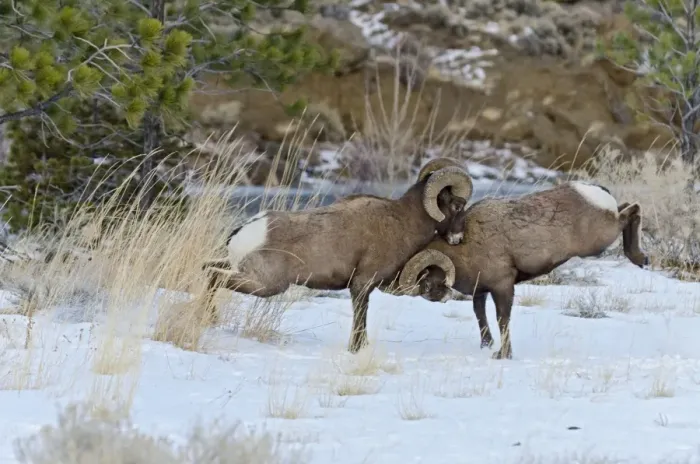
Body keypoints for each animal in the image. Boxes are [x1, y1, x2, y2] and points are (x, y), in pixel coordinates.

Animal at [200, 157, 474, 353]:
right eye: (457, 205)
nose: (458, 238)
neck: (403, 221)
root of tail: (246, 231)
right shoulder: (362, 285)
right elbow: (360, 318)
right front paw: (356, 350)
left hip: (241, 270)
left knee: (207, 269)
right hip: (266, 285)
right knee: (214, 276)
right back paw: (209, 320)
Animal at [394, 181, 649, 360]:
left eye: (427, 278)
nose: (435, 296)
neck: (465, 247)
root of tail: (593, 192)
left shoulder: (502, 287)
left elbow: (502, 320)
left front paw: (503, 355)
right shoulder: (481, 291)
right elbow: (480, 316)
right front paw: (488, 346)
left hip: (600, 240)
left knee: (633, 210)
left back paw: (640, 258)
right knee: (628, 208)